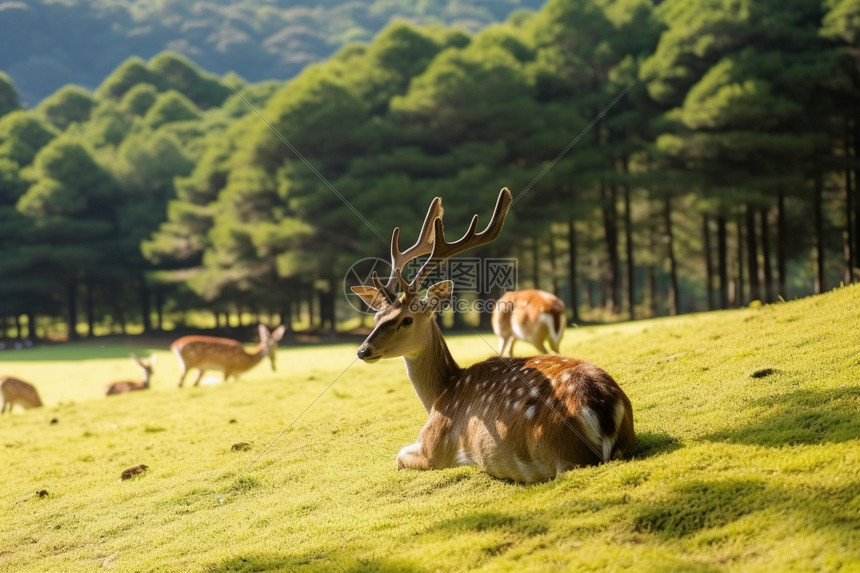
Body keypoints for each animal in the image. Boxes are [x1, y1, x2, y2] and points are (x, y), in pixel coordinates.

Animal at [352, 188, 636, 482]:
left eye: (406, 319)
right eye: (376, 317)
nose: (363, 350)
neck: (439, 396)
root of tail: (602, 407)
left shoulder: (433, 445)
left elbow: (398, 456)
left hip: (559, 452)